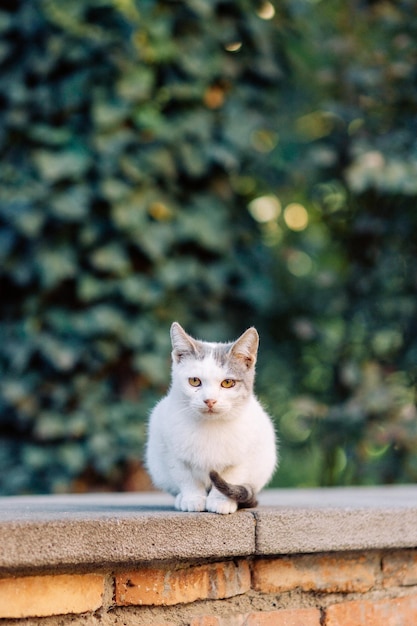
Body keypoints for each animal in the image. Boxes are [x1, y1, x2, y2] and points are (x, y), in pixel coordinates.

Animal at [145, 322, 278, 512]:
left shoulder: (245, 453)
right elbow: (186, 477)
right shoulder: (170, 449)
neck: (210, 425)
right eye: (194, 381)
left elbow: (231, 476)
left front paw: (220, 501)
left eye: (228, 383)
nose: (209, 400)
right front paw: (192, 498)